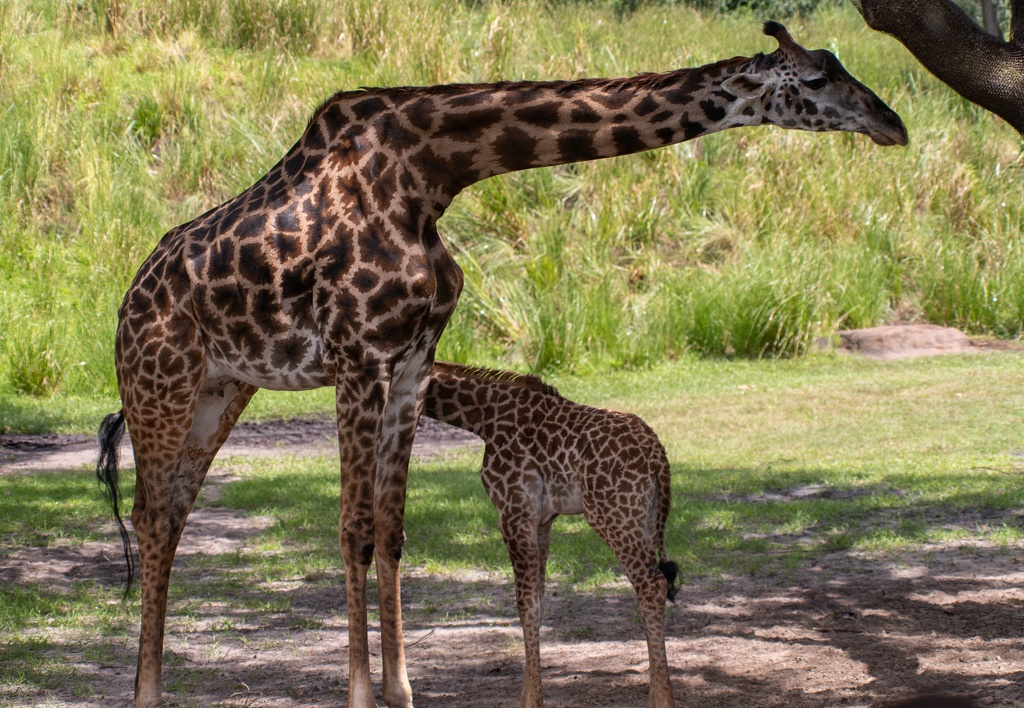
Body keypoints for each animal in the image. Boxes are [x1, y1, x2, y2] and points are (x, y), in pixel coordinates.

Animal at [423, 362, 679, 704]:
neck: (484, 417)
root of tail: (657, 455)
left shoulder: (514, 512)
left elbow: (525, 603)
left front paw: (532, 701)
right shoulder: (543, 521)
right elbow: (540, 600)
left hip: (611, 515)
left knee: (651, 586)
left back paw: (662, 701)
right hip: (647, 518)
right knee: (656, 583)